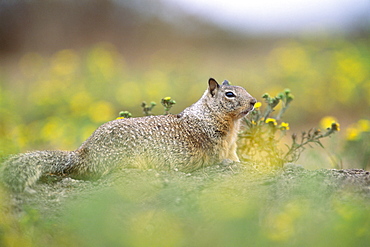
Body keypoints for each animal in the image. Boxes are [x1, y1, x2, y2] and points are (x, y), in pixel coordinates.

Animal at [0, 78, 254, 192]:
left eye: (243, 89)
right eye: (230, 94)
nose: (253, 101)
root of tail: (83, 152)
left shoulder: (231, 147)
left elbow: (236, 158)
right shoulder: (217, 146)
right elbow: (224, 160)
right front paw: (234, 167)